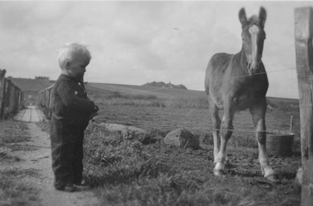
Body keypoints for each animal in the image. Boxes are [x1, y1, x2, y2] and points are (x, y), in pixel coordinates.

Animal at [204, 6, 274, 180]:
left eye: (264, 37)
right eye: (243, 37)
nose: (254, 68)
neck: (247, 77)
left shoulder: (259, 103)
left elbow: (261, 133)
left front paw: (267, 169)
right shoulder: (230, 101)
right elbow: (226, 130)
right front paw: (219, 167)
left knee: (222, 125)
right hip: (212, 102)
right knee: (217, 126)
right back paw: (216, 157)